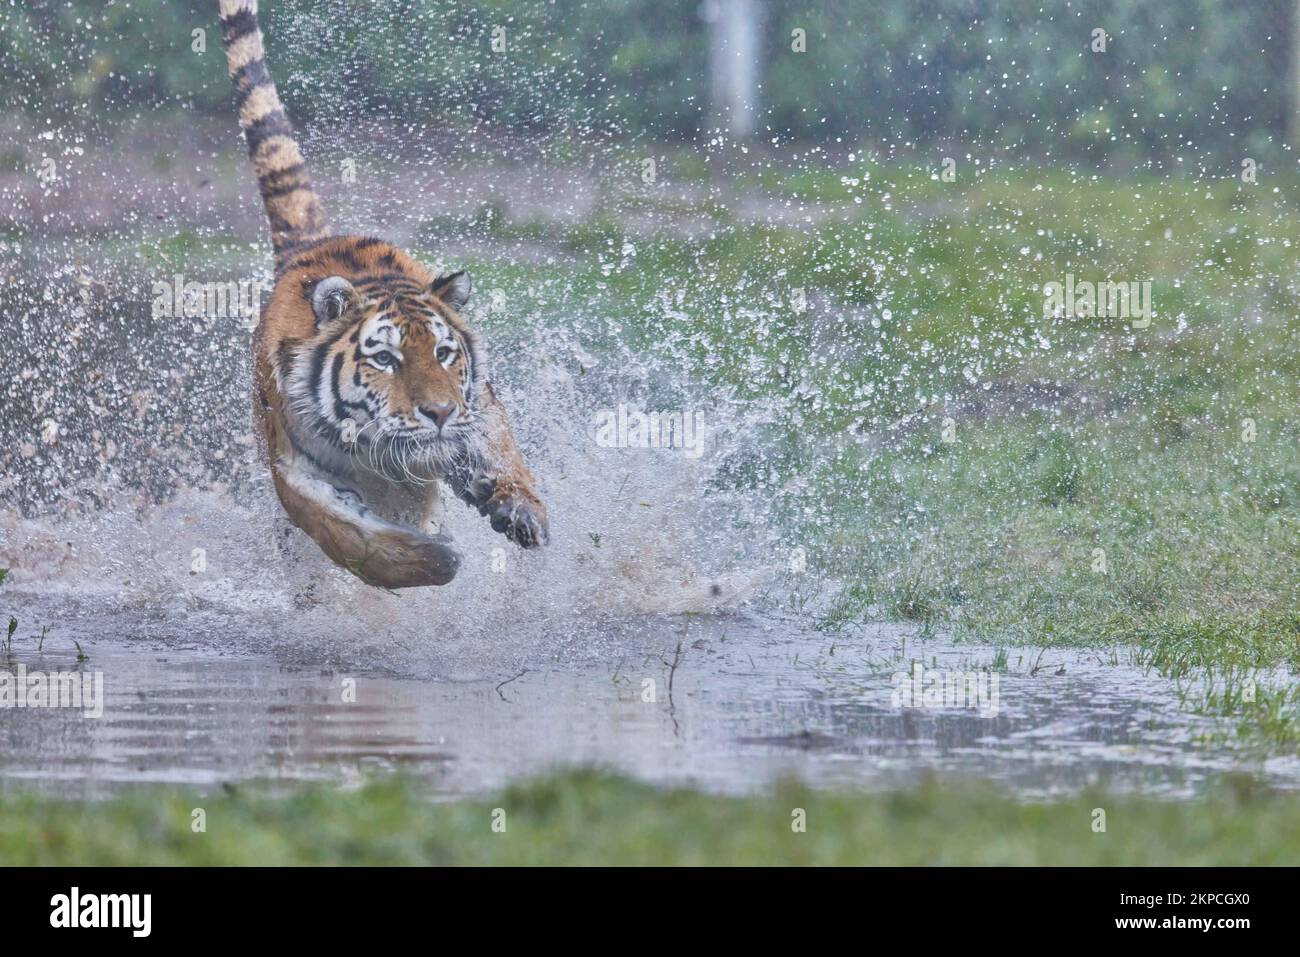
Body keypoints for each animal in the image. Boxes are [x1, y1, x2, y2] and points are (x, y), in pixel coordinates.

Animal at [217, 0, 548, 587]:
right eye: (385, 359)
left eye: (444, 353)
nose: (439, 413)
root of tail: (317, 244)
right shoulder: (293, 469)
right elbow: (347, 533)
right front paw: (434, 558)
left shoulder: (478, 412)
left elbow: (504, 454)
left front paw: (521, 511)